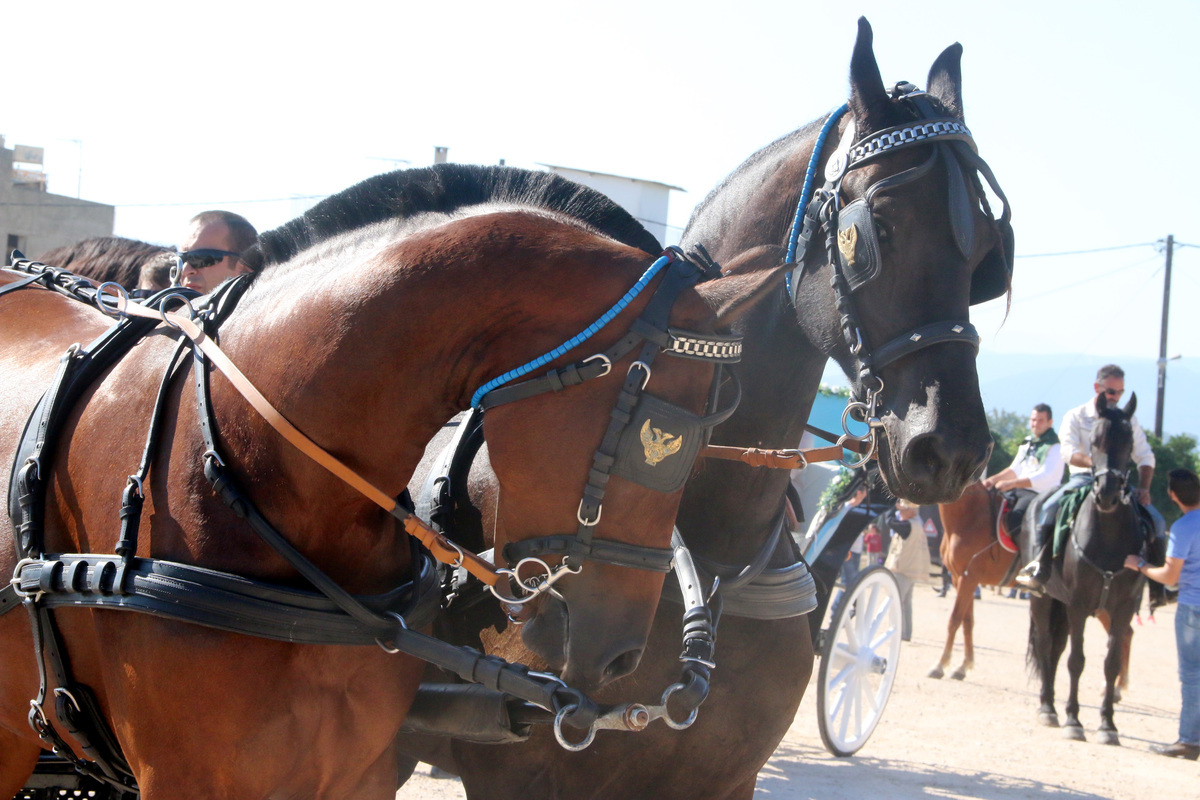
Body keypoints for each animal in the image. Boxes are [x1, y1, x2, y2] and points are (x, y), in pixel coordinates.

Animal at [398, 18, 1008, 800]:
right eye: (877, 227)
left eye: (987, 250)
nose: (952, 446)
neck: (714, 554)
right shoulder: (520, 778)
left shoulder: (728, 778)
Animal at [1022, 393, 1142, 743]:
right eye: (1095, 441)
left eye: (1129, 441)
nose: (1108, 494)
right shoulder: (1077, 605)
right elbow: (1077, 661)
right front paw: (1074, 720)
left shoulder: (1122, 609)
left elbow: (1111, 663)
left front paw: (1107, 725)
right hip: (1043, 600)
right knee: (1046, 646)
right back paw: (1048, 707)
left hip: (1060, 606)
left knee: (1056, 649)